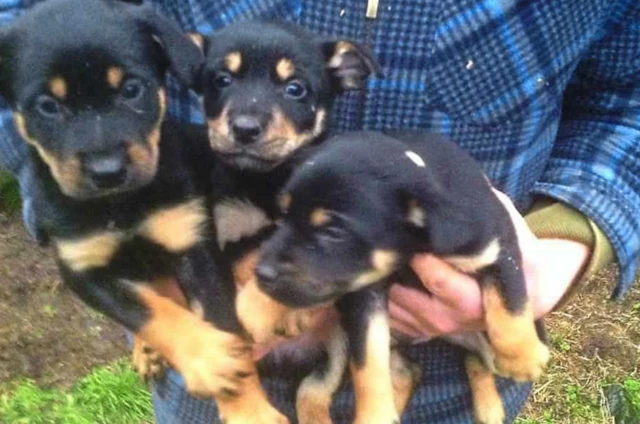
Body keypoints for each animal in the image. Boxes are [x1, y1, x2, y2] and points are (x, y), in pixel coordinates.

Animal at [0, 1, 284, 422]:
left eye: (132, 90)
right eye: (47, 106)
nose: (107, 172)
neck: (119, 206)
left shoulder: (193, 244)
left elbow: (222, 322)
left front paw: (249, 408)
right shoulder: (82, 269)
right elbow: (145, 310)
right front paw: (209, 357)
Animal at [255, 132, 552, 424]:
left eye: (333, 232)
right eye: (283, 216)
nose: (261, 273)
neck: (411, 245)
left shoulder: (497, 247)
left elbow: (509, 299)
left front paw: (523, 358)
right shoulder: (365, 298)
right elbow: (367, 362)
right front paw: (374, 416)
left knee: (475, 359)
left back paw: (490, 408)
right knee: (399, 373)